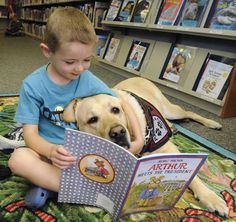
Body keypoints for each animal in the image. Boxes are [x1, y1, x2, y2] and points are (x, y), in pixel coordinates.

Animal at [63, 77, 229, 216]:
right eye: (92, 119)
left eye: (115, 110)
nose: (118, 132)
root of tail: (139, 76)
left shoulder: (169, 149)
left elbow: (193, 177)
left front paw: (211, 198)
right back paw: (172, 126)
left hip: (172, 110)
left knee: (189, 112)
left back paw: (211, 123)